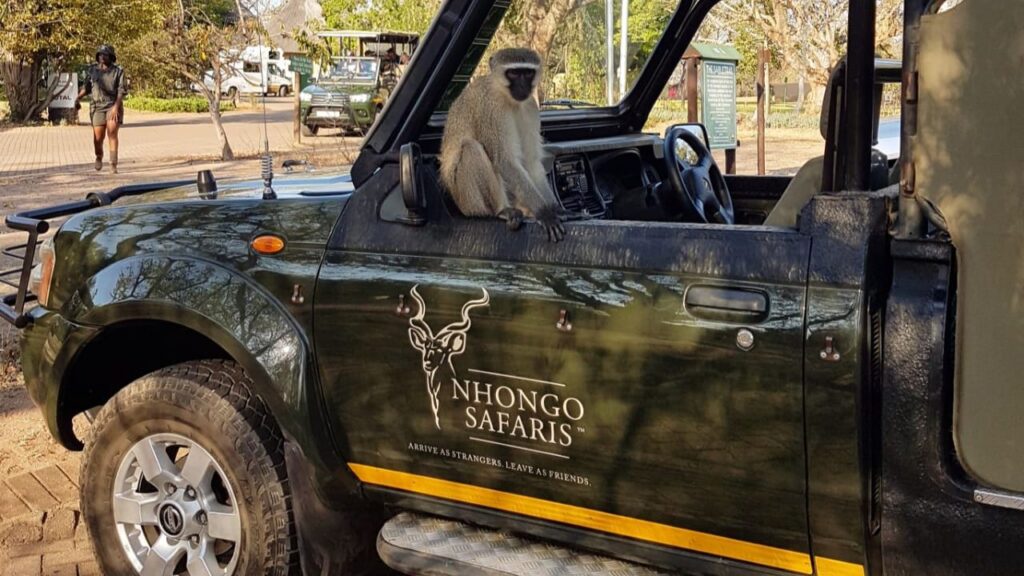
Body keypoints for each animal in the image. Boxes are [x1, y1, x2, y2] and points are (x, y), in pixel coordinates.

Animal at [440, 47, 567, 242]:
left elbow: (531, 163)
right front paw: (544, 212)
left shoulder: (530, 106)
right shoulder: (491, 109)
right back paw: (501, 211)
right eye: (513, 73)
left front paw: (554, 208)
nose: (522, 87)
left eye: (527, 73)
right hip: (466, 199)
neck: (507, 97)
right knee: (471, 148)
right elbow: (504, 160)